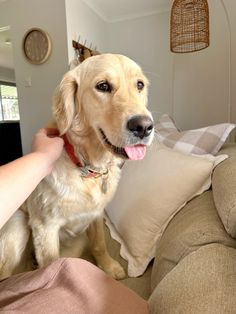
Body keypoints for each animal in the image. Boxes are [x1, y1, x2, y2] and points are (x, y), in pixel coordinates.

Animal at [0, 53, 154, 280]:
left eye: (140, 85)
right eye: (103, 86)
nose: (144, 126)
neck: (88, 166)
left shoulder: (97, 214)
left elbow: (99, 243)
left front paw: (108, 266)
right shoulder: (45, 227)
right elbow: (51, 263)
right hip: (18, 222)